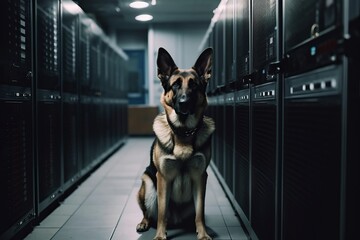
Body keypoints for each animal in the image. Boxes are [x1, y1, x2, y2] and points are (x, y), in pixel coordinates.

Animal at [135, 47, 214, 240]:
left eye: (194, 85)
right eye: (175, 85)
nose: (184, 103)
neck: (183, 133)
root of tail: (177, 220)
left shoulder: (200, 177)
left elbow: (200, 213)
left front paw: (203, 234)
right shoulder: (163, 178)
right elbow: (162, 212)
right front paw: (160, 236)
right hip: (148, 184)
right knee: (149, 213)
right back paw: (144, 223)